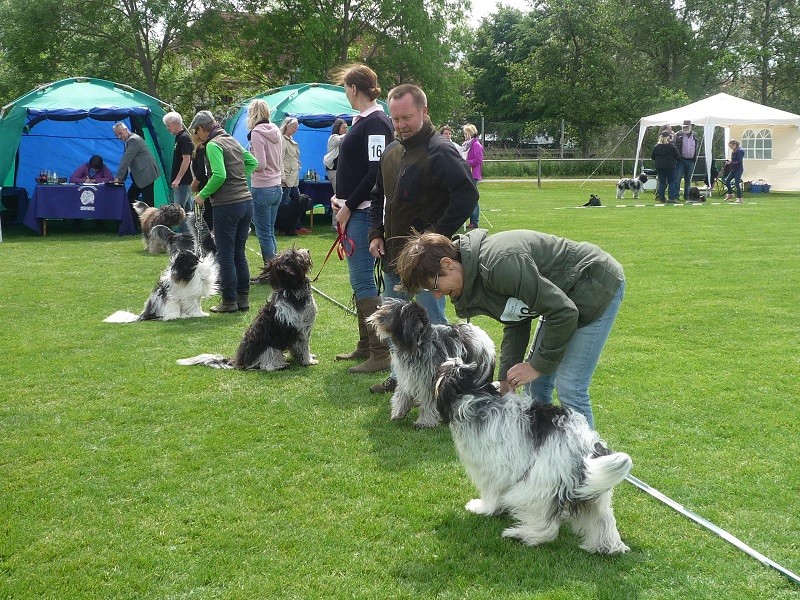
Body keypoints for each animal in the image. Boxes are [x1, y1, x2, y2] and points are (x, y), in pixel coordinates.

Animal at [177, 247, 318, 370]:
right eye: (294, 253)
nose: (308, 251)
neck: (291, 290)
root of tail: (238, 361)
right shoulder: (301, 330)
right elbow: (304, 348)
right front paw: (308, 361)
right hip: (270, 349)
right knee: (266, 365)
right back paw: (280, 365)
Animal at [368, 298, 494, 426]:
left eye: (399, 310)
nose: (379, 308)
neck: (416, 345)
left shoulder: (429, 381)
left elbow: (428, 403)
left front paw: (425, 421)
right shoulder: (406, 376)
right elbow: (402, 394)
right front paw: (398, 413)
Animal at [438, 358, 632, 556]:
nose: (448, 362)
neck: (477, 399)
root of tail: (587, 446)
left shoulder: (491, 470)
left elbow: (491, 493)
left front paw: (482, 508)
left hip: (537, 484)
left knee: (547, 526)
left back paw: (523, 535)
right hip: (595, 487)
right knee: (603, 519)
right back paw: (607, 546)